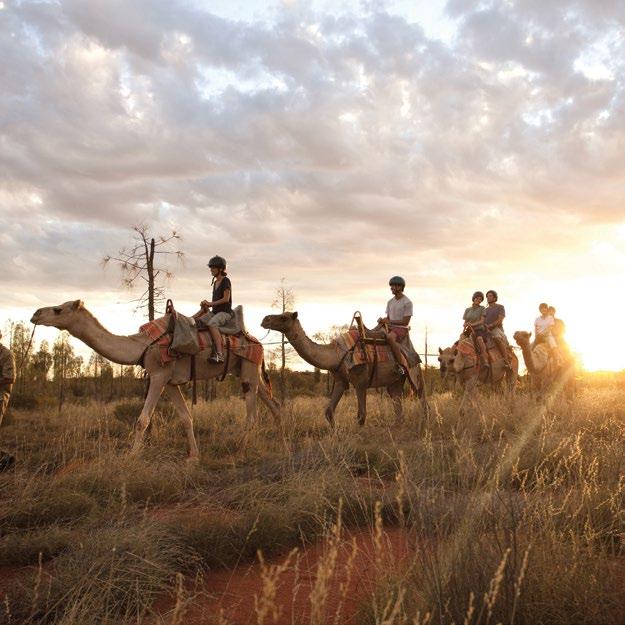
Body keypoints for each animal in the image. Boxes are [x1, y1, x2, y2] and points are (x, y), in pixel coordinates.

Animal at [30, 300, 280, 460]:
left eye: (58, 309)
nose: (35, 314)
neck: (142, 345)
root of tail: (257, 342)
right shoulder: (170, 382)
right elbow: (186, 418)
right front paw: (193, 456)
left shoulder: (159, 375)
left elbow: (142, 420)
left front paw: (130, 457)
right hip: (247, 370)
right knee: (273, 403)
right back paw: (282, 435)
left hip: (248, 370)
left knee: (252, 415)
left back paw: (240, 448)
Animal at [261, 312, 429, 426]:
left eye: (284, 317)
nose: (265, 319)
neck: (337, 354)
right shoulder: (341, 379)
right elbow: (328, 412)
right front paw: (334, 435)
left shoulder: (361, 381)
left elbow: (361, 415)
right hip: (395, 381)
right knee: (397, 402)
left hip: (414, 370)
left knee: (422, 398)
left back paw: (424, 426)